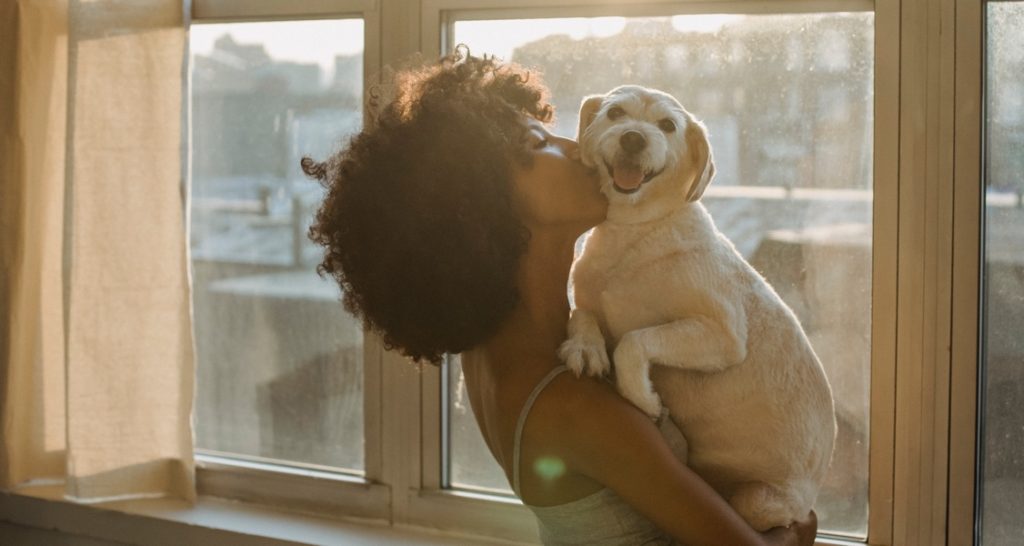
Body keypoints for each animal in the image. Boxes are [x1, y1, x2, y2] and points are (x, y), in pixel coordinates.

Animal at [565, 84, 835, 528]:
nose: (634, 138)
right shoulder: (589, 297)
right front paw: (584, 347)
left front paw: (643, 398)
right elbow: (582, 313)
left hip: (758, 501)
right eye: (615, 113)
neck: (635, 232)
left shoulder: (722, 335)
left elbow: (634, 341)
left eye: (667, 125)